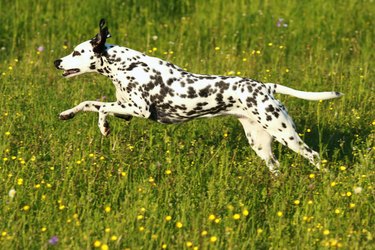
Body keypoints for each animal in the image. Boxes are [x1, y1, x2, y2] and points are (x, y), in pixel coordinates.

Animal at [53, 19, 344, 174]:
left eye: (77, 52)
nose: (56, 61)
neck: (126, 66)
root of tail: (266, 87)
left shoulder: (138, 109)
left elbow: (101, 109)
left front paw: (103, 127)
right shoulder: (125, 109)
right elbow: (88, 103)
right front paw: (67, 113)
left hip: (287, 135)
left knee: (315, 156)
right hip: (261, 144)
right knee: (276, 167)